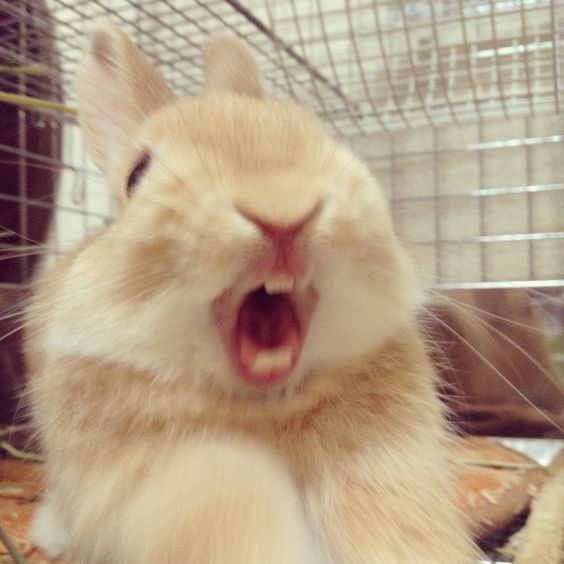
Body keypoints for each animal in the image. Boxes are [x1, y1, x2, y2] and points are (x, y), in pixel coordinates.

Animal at [26, 23, 476, 564]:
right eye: (137, 174)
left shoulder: (386, 465)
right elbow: (225, 488)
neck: (264, 404)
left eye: (322, 137)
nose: (282, 209)